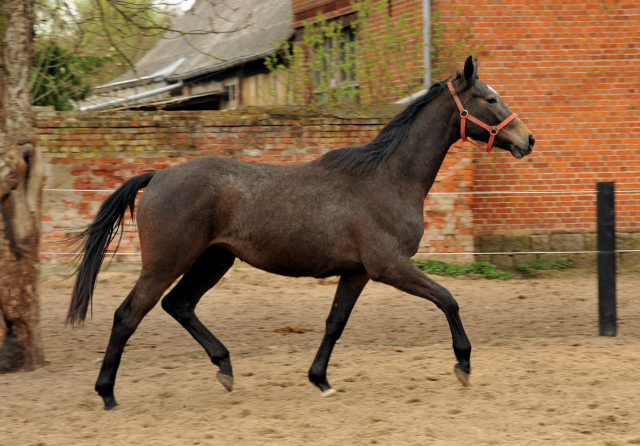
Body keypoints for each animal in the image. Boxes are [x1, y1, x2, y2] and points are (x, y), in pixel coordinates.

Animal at [67, 57, 536, 410]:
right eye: (490, 98)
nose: (527, 139)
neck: (388, 178)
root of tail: (158, 176)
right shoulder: (389, 266)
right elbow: (447, 299)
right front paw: (463, 365)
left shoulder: (357, 272)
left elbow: (335, 323)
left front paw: (320, 380)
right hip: (168, 262)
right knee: (128, 315)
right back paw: (107, 394)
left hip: (215, 259)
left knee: (179, 305)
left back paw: (225, 368)